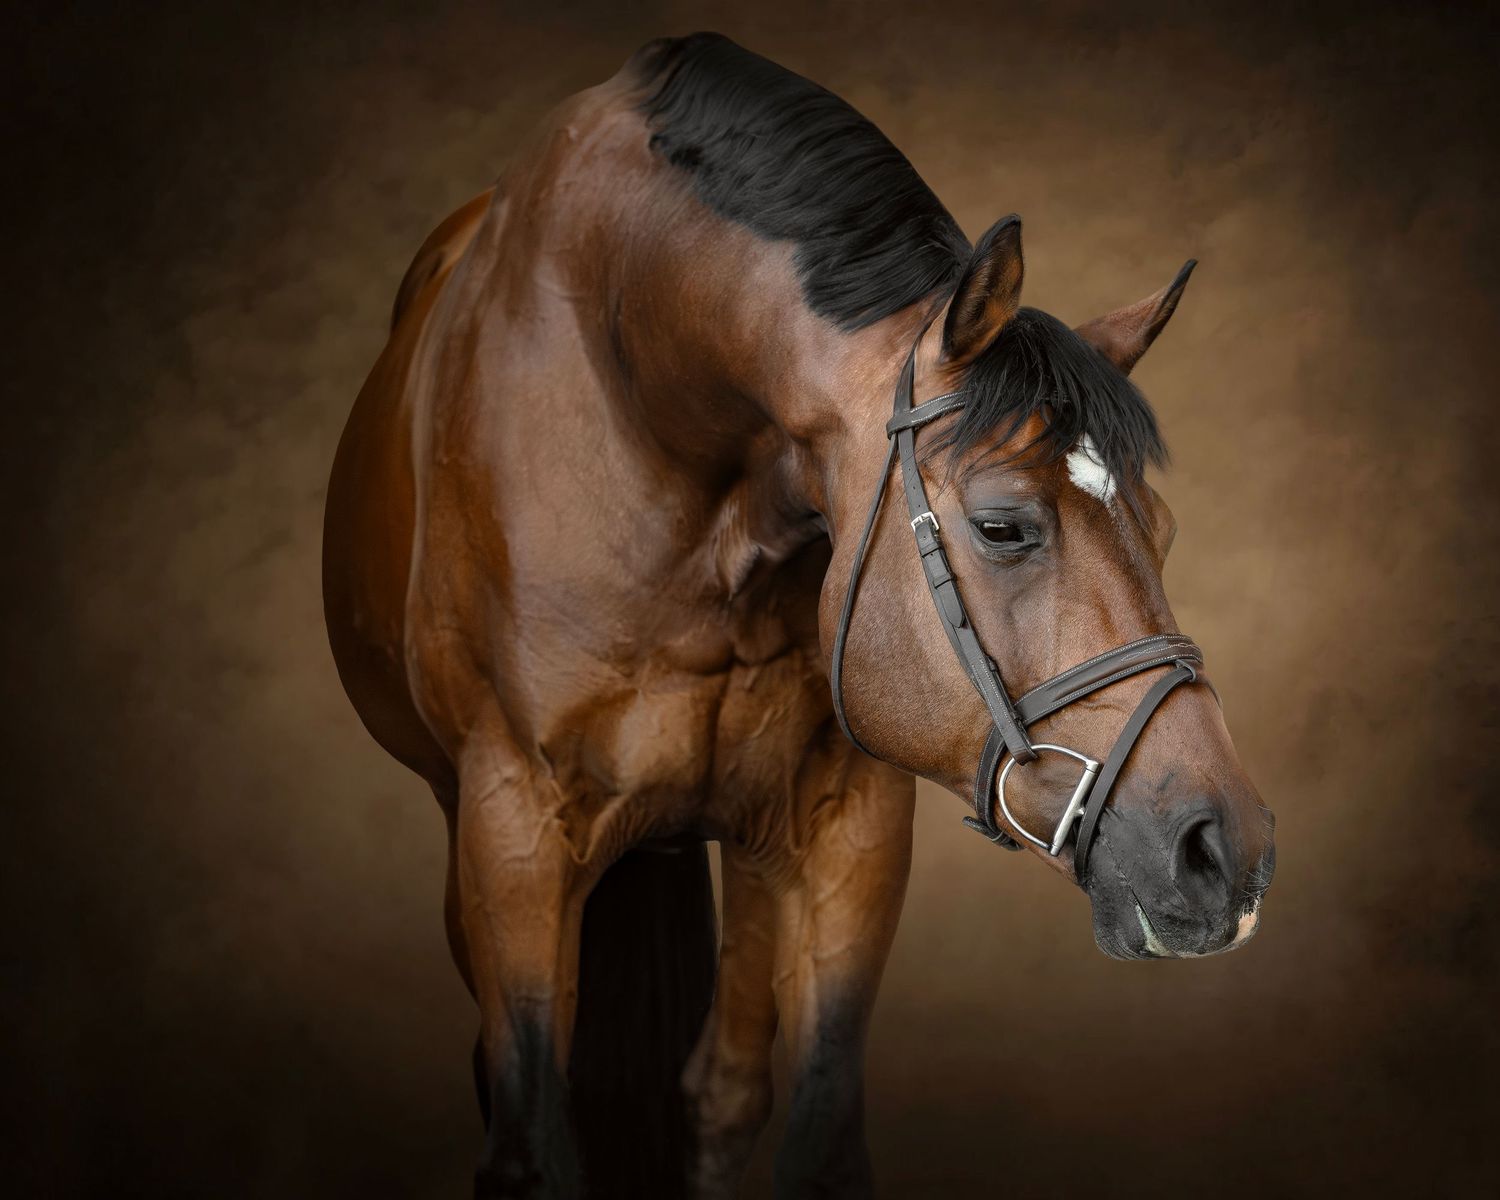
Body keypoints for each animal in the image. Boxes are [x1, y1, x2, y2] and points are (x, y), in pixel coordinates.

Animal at [322, 32, 1276, 1200]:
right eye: (1004, 526)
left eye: (1165, 528)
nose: (1225, 853)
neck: (640, 391)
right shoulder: (513, 831)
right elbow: (532, 1144)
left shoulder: (841, 829)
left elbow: (812, 1135)